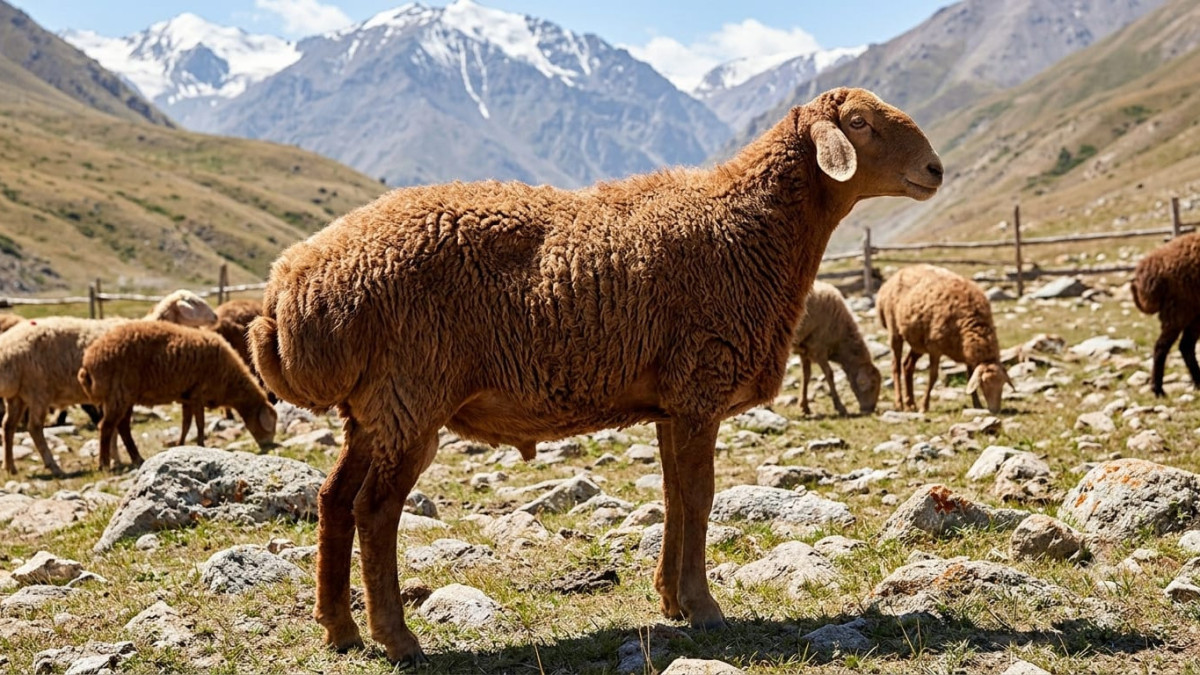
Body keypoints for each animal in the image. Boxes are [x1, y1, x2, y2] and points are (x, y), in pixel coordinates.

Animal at [0, 290, 216, 476]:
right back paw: (53, 466)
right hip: (38, 390)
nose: (215, 316)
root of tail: (8, 349)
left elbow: (111, 430)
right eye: (195, 302)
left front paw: (115, 459)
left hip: (18, 395)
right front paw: (115, 460)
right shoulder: (114, 393)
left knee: (8, 426)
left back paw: (10, 467)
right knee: (34, 428)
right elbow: (112, 428)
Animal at [78, 320, 277, 469]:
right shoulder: (197, 394)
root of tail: (88, 363)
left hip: (125, 397)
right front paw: (201, 445)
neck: (229, 381)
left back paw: (137, 458)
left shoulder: (186, 397)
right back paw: (104, 464)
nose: (269, 445)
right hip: (118, 394)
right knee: (106, 427)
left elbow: (186, 425)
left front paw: (181, 445)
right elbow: (200, 424)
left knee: (123, 427)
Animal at [792, 281, 881, 416]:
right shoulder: (818, 349)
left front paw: (804, 406)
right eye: (873, 385)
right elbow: (829, 374)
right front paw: (840, 407)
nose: (870, 410)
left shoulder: (805, 350)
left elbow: (806, 376)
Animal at [877, 264, 1012, 414]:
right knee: (896, 366)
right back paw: (899, 403)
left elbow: (969, 376)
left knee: (907, 365)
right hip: (894, 331)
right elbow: (933, 376)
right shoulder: (935, 348)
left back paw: (910, 403)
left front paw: (977, 405)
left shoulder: (966, 354)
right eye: (985, 383)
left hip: (918, 342)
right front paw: (924, 406)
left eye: (1003, 384)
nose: (996, 410)